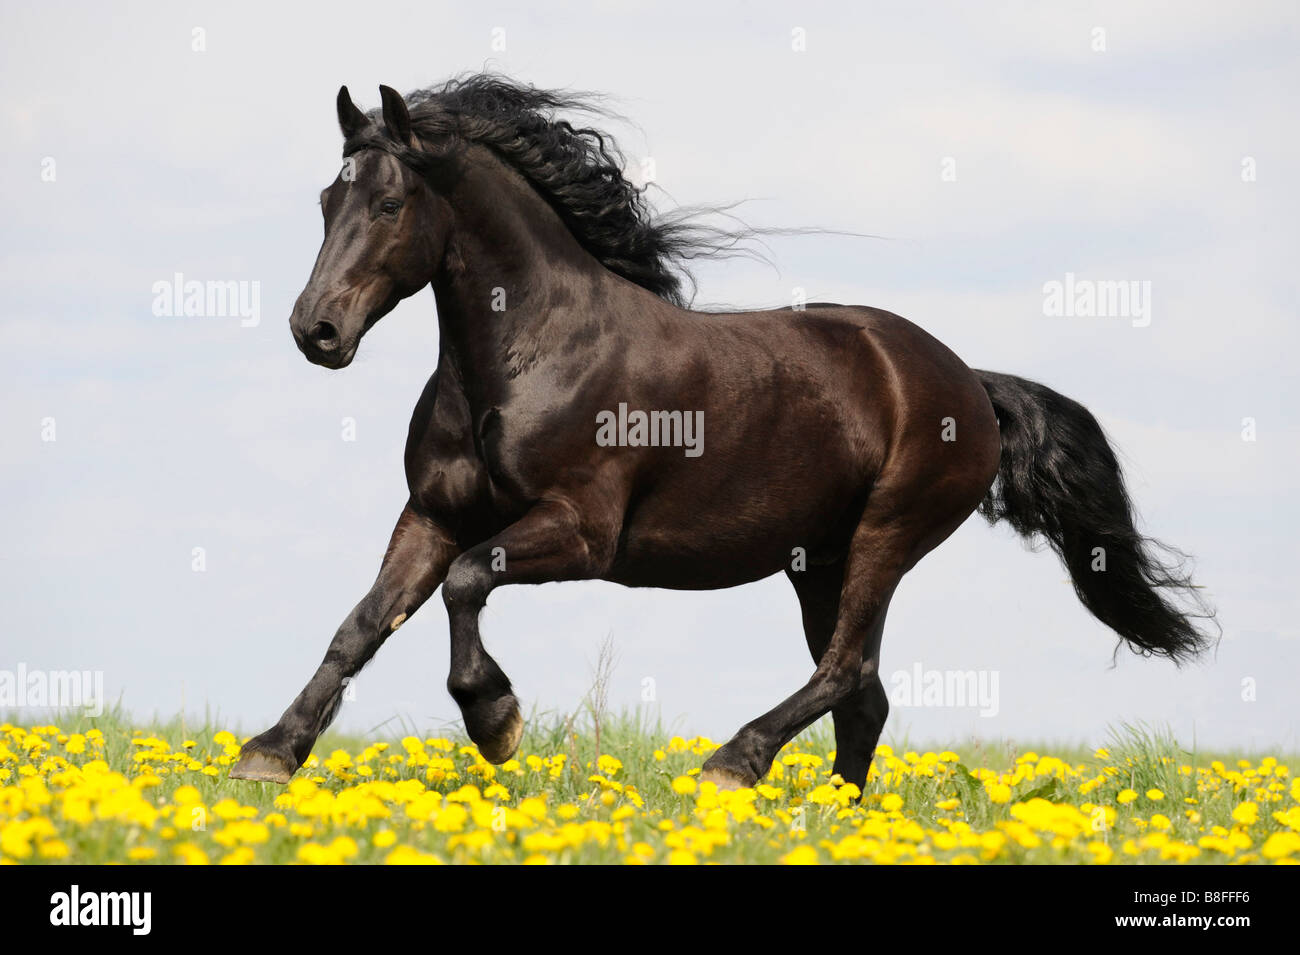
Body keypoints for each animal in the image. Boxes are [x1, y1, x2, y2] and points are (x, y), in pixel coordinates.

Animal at [228, 74, 1211, 789]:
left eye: (389, 205)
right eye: (327, 200)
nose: (315, 330)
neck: (529, 354)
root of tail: (968, 382)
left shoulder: (580, 533)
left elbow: (468, 583)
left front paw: (496, 721)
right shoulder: (430, 515)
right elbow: (361, 624)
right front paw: (269, 753)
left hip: (886, 536)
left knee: (844, 672)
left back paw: (732, 765)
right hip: (820, 559)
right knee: (864, 696)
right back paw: (837, 816)